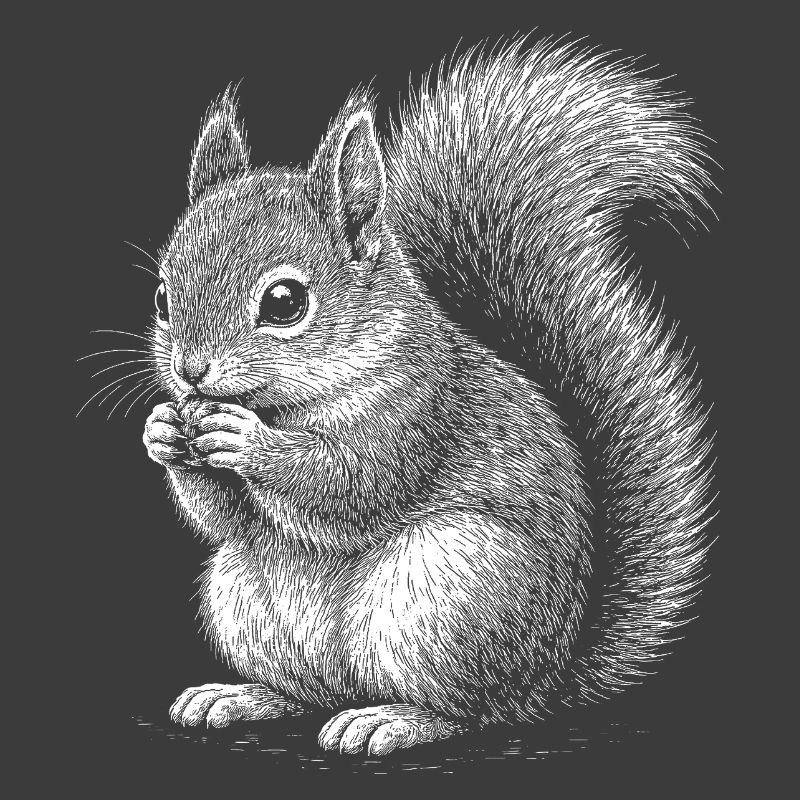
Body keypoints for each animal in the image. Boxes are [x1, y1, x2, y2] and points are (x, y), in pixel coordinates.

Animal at [141, 37, 714, 756]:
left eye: (285, 302)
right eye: (163, 296)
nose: (190, 372)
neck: (290, 401)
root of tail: (547, 682)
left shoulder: (417, 410)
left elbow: (349, 484)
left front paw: (248, 443)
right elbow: (226, 519)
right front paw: (163, 431)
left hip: (446, 597)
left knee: (470, 711)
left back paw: (392, 719)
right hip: (246, 601)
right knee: (310, 692)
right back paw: (243, 696)